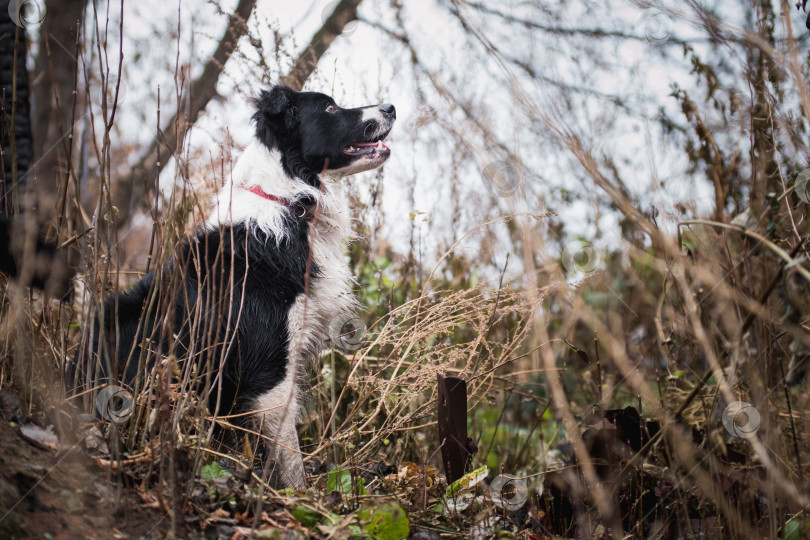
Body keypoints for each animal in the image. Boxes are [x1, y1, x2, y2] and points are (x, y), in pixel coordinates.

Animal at [69, 85, 394, 490]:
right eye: (330, 108)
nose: (391, 107)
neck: (290, 201)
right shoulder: (270, 370)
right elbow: (290, 456)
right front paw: (299, 498)